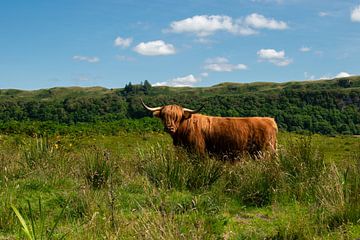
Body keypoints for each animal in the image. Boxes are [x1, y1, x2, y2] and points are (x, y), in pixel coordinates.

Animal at [142, 99, 278, 159]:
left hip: (265, 151)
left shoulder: (198, 151)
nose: (169, 128)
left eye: (177, 117)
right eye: (164, 116)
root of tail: (270, 120)